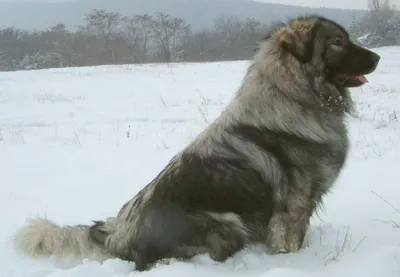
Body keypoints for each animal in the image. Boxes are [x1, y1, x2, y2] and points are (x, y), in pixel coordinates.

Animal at [13, 14, 382, 270]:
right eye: (337, 42)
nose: (378, 58)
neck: (295, 95)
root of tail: (116, 236)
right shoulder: (292, 206)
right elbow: (289, 242)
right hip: (227, 221)